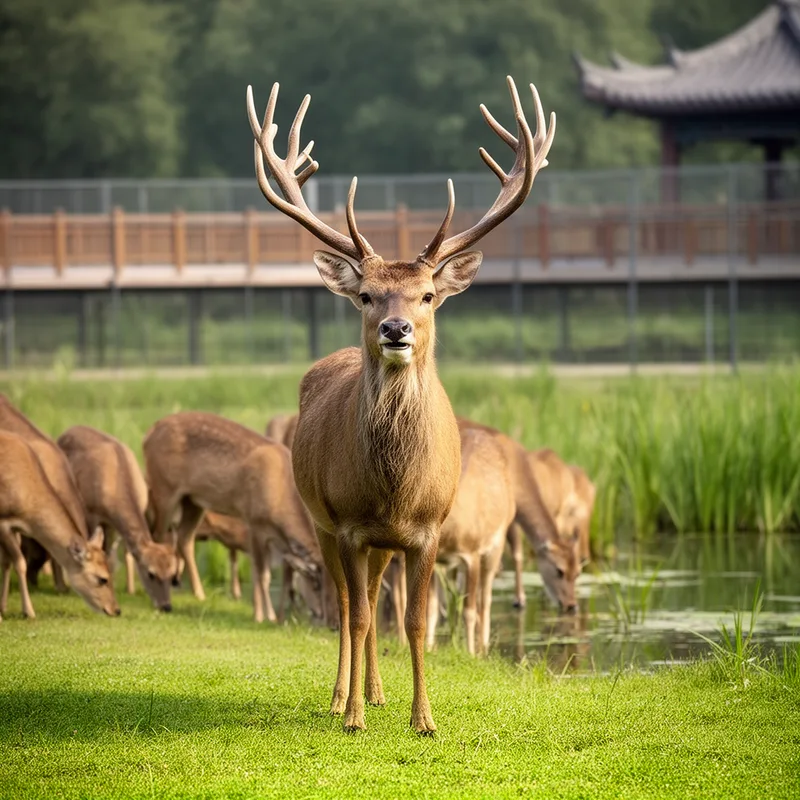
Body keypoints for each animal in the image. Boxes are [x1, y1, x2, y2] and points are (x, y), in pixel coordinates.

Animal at [0, 430, 120, 618]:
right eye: (102, 578)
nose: (116, 610)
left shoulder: (13, 528)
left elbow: (6, 562)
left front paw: (4, 608)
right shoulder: (3, 522)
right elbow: (20, 563)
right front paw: (29, 613)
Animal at [56, 426, 179, 612]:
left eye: (173, 575)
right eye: (151, 573)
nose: (166, 606)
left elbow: (125, 552)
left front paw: (130, 590)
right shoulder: (91, 513)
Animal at [143, 412, 324, 623]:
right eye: (316, 583)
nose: (323, 614)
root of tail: (148, 434)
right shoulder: (253, 521)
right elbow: (262, 574)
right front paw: (265, 617)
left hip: (193, 501)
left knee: (184, 538)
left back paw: (199, 594)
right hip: (165, 489)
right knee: (158, 534)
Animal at [246, 74, 555, 733]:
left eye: (429, 294)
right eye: (366, 293)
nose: (395, 328)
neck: (394, 485)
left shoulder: (428, 528)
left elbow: (413, 621)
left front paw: (424, 718)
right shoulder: (347, 522)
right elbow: (361, 615)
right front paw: (353, 717)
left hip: (383, 543)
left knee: (371, 601)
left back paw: (379, 692)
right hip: (318, 518)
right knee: (346, 605)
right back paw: (344, 696)